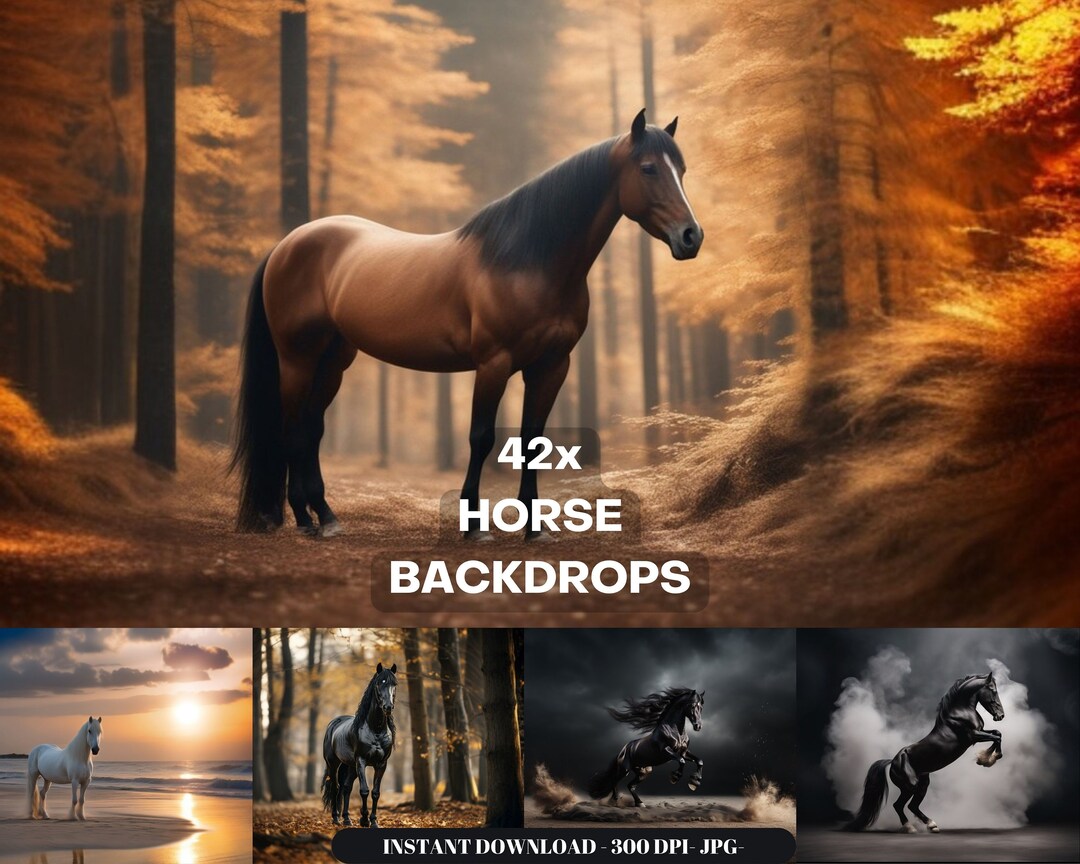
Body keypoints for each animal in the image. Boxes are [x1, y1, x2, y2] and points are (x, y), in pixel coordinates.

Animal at [232, 108, 703, 538]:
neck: (527, 260)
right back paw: (304, 520)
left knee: (311, 429)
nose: (691, 237)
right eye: (648, 168)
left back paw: (326, 517)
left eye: (681, 169)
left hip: (333, 361)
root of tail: (287, 244)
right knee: (292, 429)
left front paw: (534, 528)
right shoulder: (494, 362)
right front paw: (474, 524)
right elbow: (481, 437)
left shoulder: (552, 366)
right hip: (297, 359)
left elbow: (532, 442)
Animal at [322, 662, 397, 828]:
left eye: (395, 684)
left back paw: (347, 819)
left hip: (350, 765)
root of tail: (333, 723)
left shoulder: (381, 764)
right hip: (333, 764)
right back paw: (336, 818)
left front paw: (373, 821)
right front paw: (364, 819)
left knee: (346, 788)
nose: (388, 707)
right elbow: (364, 790)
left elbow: (375, 792)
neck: (375, 729)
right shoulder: (361, 761)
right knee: (335, 788)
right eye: (379, 683)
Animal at [843, 672, 1005, 833]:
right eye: (993, 690)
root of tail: (892, 762)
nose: (1001, 716)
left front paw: (987, 758)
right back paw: (910, 827)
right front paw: (988, 759)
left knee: (912, 806)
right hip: (910, 786)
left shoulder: (980, 732)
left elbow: (998, 733)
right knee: (899, 805)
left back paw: (932, 825)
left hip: (922, 785)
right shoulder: (973, 735)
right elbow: (997, 737)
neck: (960, 711)